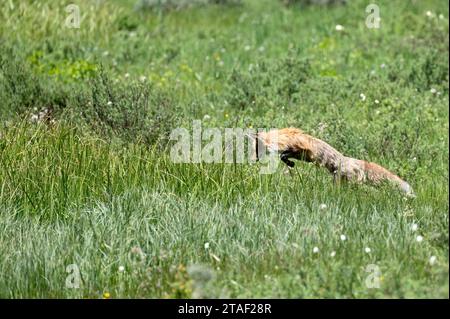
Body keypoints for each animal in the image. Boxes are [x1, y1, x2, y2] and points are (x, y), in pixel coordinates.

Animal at [253, 127, 414, 198]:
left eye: (256, 149)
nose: (254, 160)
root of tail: (348, 160)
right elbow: (284, 156)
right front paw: (290, 163)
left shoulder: (300, 148)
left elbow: (284, 155)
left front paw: (290, 163)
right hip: (338, 180)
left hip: (352, 181)